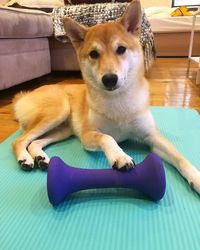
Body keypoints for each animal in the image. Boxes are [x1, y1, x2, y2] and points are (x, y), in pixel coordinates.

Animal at [12, 0, 200, 194]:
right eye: (94, 54)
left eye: (121, 49)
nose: (110, 79)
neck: (119, 101)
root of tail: (25, 95)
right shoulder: (88, 135)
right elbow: (107, 138)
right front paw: (119, 156)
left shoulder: (153, 137)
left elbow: (180, 158)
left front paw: (196, 177)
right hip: (58, 111)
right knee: (19, 141)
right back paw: (25, 158)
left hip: (63, 130)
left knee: (34, 142)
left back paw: (40, 158)